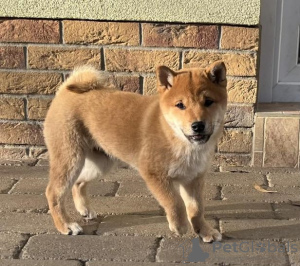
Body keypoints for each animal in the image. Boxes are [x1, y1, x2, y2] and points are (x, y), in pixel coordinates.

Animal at [44, 60, 227, 243]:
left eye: (208, 101)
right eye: (180, 105)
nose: (198, 125)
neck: (174, 137)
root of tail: (63, 91)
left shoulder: (193, 178)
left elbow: (197, 209)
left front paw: (205, 231)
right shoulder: (154, 175)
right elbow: (175, 202)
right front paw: (180, 225)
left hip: (101, 163)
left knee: (78, 183)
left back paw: (84, 210)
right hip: (70, 159)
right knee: (53, 192)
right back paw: (65, 225)